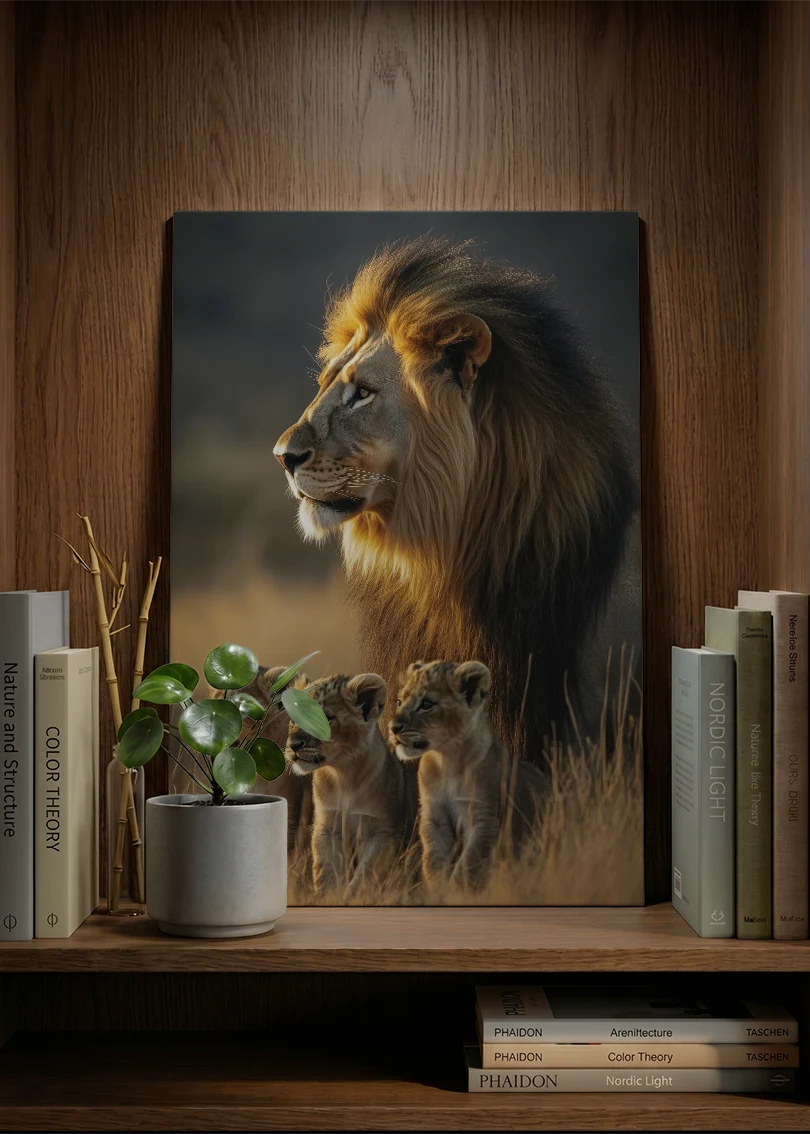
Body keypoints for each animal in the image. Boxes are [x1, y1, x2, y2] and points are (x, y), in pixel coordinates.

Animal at [286, 673, 417, 899]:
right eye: (293, 719)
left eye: (324, 718)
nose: (293, 745)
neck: (343, 775)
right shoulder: (327, 827)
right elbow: (325, 872)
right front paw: (327, 899)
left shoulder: (384, 833)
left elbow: (365, 876)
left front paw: (350, 898)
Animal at [391, 659, 545, 892]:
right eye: (399, 701)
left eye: (427, 704)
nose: (393, 727)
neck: (447, 759)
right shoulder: (435, 816)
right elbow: (433, 861)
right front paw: (437, 890)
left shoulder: (483, 818)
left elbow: (468, 865)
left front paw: (455, 892)